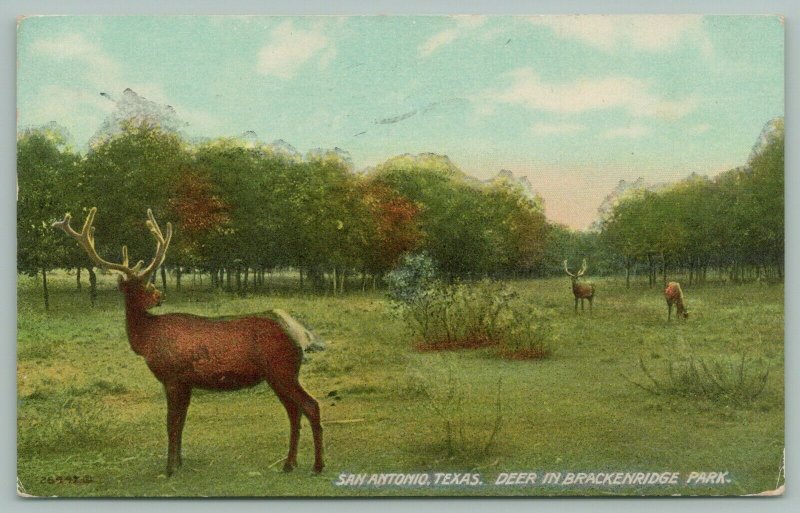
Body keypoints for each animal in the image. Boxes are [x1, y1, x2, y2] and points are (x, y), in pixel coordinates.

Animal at [52, 207, 324, 476]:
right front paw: (180, 461)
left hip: (282, 370)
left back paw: (317, 465)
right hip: (277, 375)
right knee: (294, 411)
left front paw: (169, 468)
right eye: (144, 284)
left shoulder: (172, 377)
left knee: (311, 406)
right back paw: (289, 463)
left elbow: (171, 422)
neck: (147, 340)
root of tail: (300, 333)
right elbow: (181, 422)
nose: (160, 295)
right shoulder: (185, 382)